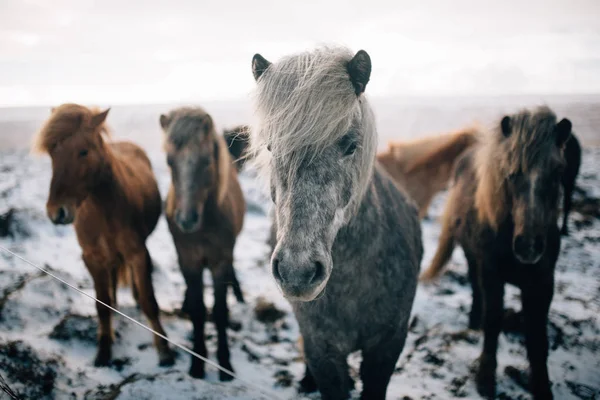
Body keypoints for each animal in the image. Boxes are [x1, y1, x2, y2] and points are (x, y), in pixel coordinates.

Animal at [33, 104, 175, 368]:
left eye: (83, 151)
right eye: (53, 153)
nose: (57, 212)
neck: (104, 210)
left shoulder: (138, 254)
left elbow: (149, 302)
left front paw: (164, 350)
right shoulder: (92, 258)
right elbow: (102, 304)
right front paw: (104, 349)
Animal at [159, 106, 246, 382]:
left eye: (207, 161)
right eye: (169, 161)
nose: (186, 220)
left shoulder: (220, 260)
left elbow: (219, 311)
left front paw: (225, 364)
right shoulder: (188, 260)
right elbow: (198, 310)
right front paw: (197, 363)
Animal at [422, 107, 572, 400]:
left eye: (558, 170)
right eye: (510, 174)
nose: (529, 245)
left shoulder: (543, 283)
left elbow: (537, 336)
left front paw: (541, 386)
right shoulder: (492, 274)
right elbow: (492, 321)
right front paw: (485, 377)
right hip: (472, 257)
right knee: (474, 286)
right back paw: (473, 320)